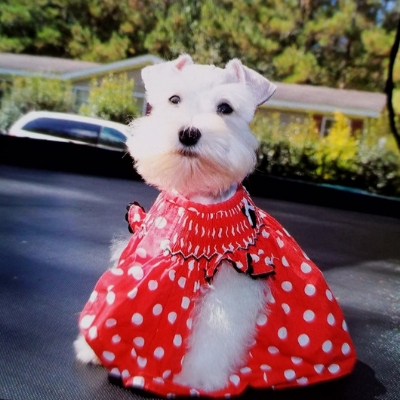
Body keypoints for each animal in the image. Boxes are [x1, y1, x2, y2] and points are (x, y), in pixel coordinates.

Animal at [75, 55, 356, 396]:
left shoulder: (233, 280)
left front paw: (195, 379)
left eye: (225, 108)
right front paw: (91, 347)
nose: (189, 133)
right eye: (174, 99)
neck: (198, 198)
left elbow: (215, 331)